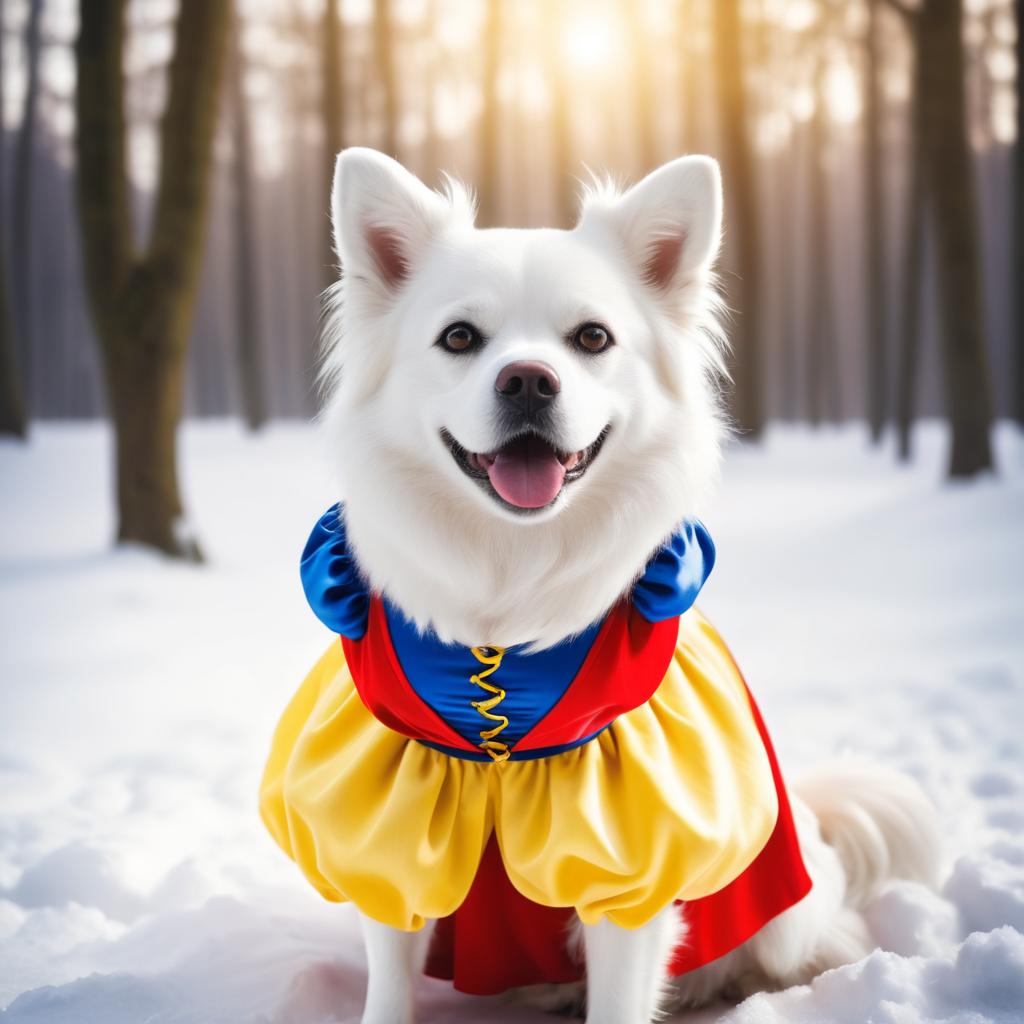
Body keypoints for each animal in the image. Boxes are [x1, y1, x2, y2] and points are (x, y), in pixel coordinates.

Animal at [270, 146, 937, 1024]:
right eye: (459, 337)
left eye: (592, 337)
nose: (527, 380)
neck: (512, 578)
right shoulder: (388, 840)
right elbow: (389, 984)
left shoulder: (634, 869)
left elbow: (622, 996)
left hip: (785, 918)